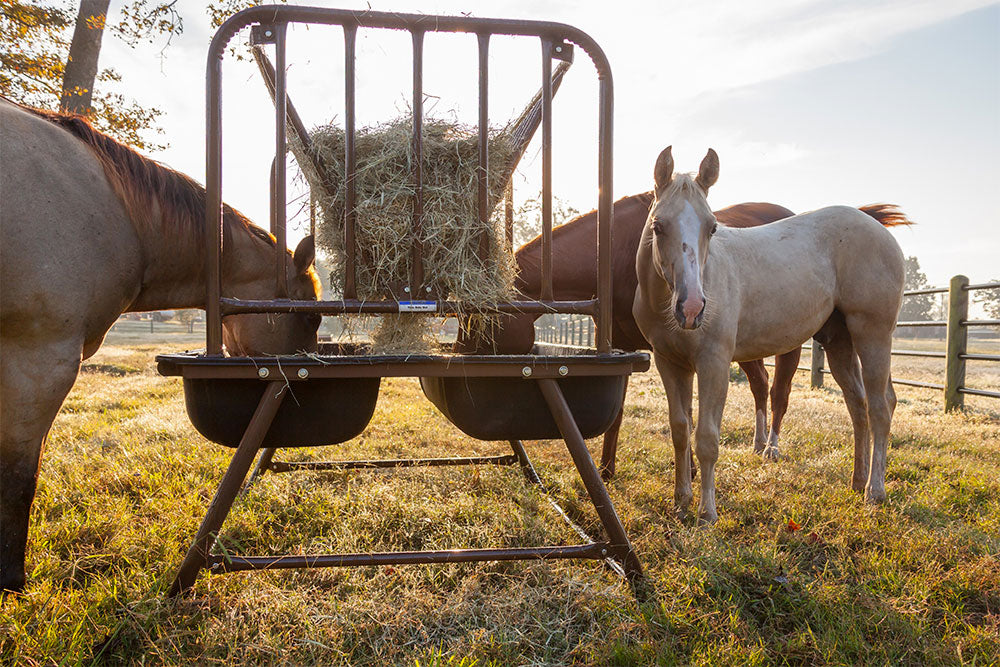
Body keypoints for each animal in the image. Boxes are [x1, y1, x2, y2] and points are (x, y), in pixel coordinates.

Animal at [458, 190, 796, 478]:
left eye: (481, 321)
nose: (464, 355)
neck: (621, 255)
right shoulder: (617, 346)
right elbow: (617, 412)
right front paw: (606, 470)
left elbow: (685, 414)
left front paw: (688, 472)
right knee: (760, 383)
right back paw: (758, 443)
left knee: (779, 392)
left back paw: (771, 448)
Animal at [636, 149, 912, 524]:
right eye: (658, 225)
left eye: (712, 227)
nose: (692, 308)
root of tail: (874, 224)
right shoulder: (669, 363)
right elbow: (680, 431)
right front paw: (681, 501)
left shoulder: (713, 363)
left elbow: (706, 438)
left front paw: (707, 513)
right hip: (840, 341)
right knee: (860, 405)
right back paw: (858, 481)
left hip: (873, 334)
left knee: (881, 407)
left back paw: (875, 491)